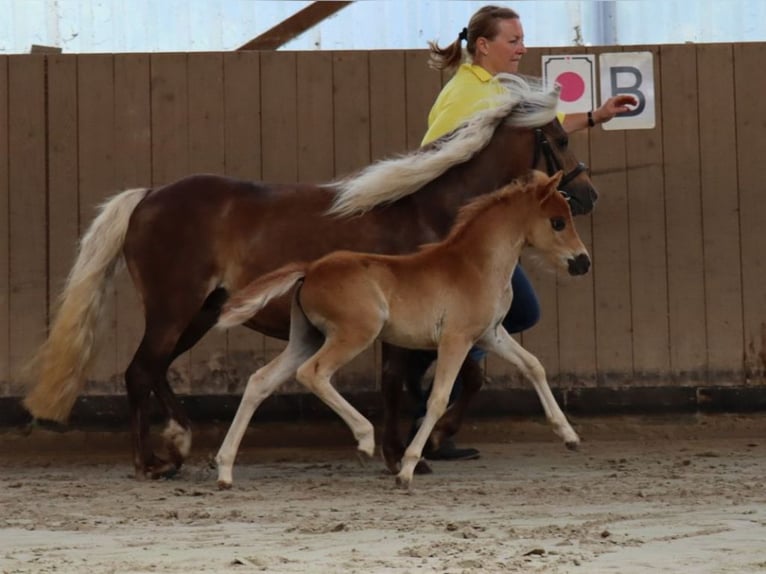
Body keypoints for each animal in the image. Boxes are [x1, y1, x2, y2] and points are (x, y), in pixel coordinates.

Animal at [214, 170, 589, 489]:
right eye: (557, 222)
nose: (583, 262)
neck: (475, 265)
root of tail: (310, 269)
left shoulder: (490, 334)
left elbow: (533, 365)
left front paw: (569, 436)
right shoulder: (456, 339)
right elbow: (438, 398)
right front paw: (408, 467)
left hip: (306, 338)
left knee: (260, 381)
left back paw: (225, 469)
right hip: (354, 334)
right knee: (313, 373)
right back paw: (365, 439)